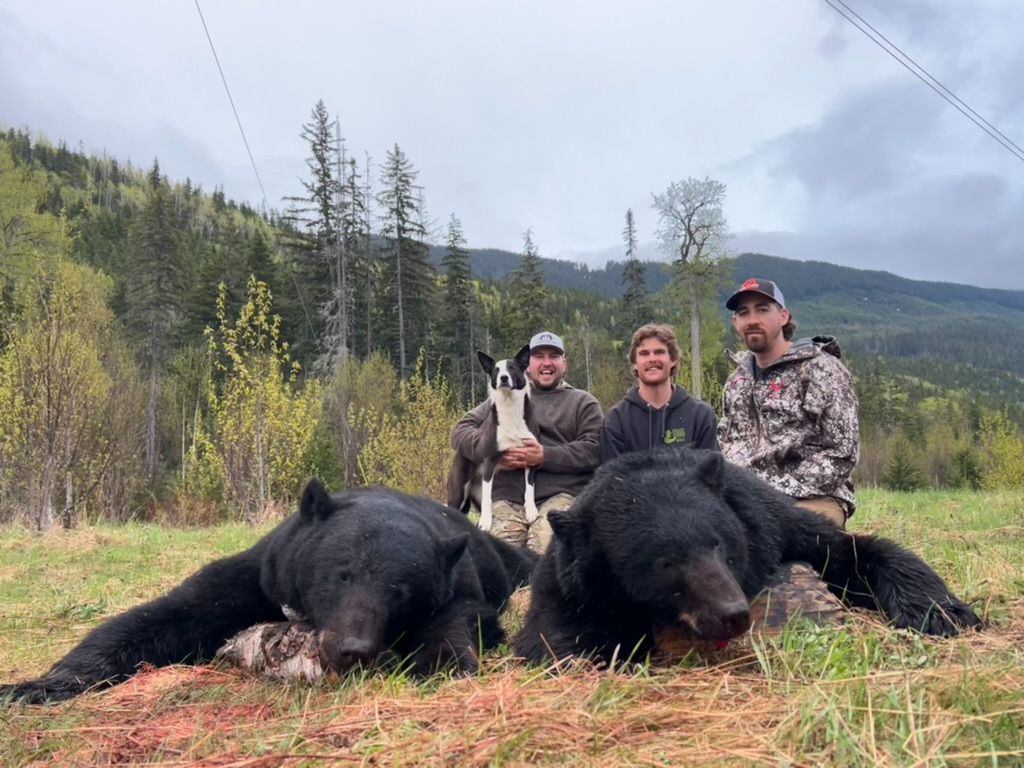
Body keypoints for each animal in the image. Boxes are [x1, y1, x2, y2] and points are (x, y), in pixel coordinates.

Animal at [4, 483, 536, 708]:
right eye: (341, 575)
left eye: (400, 592)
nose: (355, 648)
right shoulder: (260, 577)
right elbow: (167, 617)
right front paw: (38, 685)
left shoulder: (458, 583)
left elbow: (459, 617)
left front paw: (442, 663)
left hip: (499, 556)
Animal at [516, 450, 978, 667]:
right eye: (664, 562)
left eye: (718, 543)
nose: (733, 613)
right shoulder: (563, 579)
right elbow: (554, 637)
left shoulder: (772, 524)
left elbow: (855, 552)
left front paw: (940, 613)